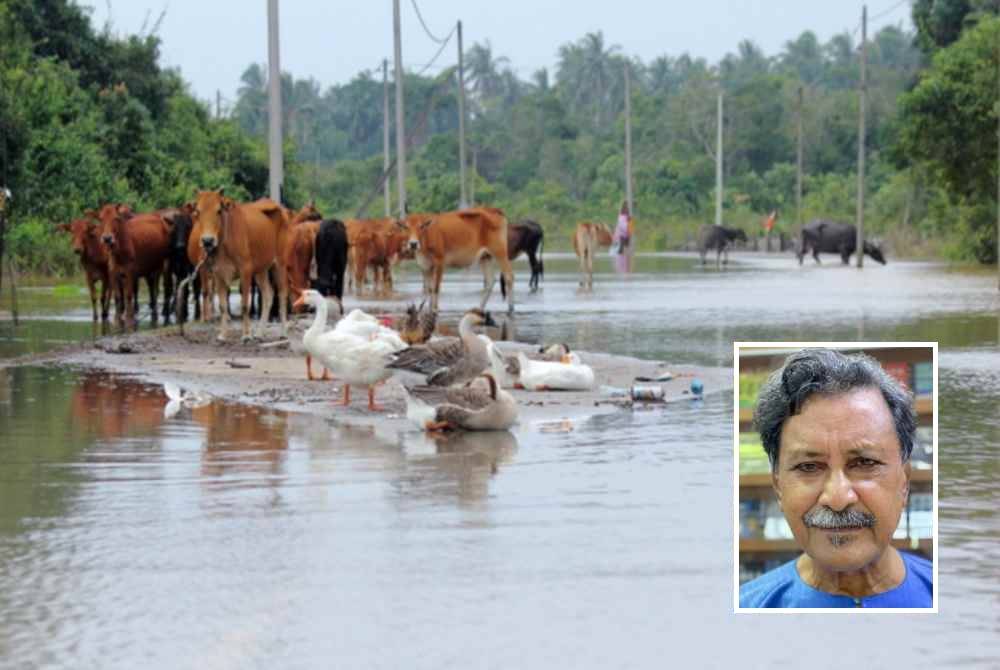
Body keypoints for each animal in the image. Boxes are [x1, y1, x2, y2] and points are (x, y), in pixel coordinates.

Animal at [190, 190, 290, 344]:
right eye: (198, 211)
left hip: (280, 264)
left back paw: (283, 333)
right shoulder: (218, 273)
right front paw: (222, 335)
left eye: (219, 211)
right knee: (268, 294)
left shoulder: (246, 270)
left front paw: (246, 335)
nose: (207, 241)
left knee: (282, 294)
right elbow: (223, 306)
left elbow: (244, 305)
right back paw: (259, 333)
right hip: (261, 270)